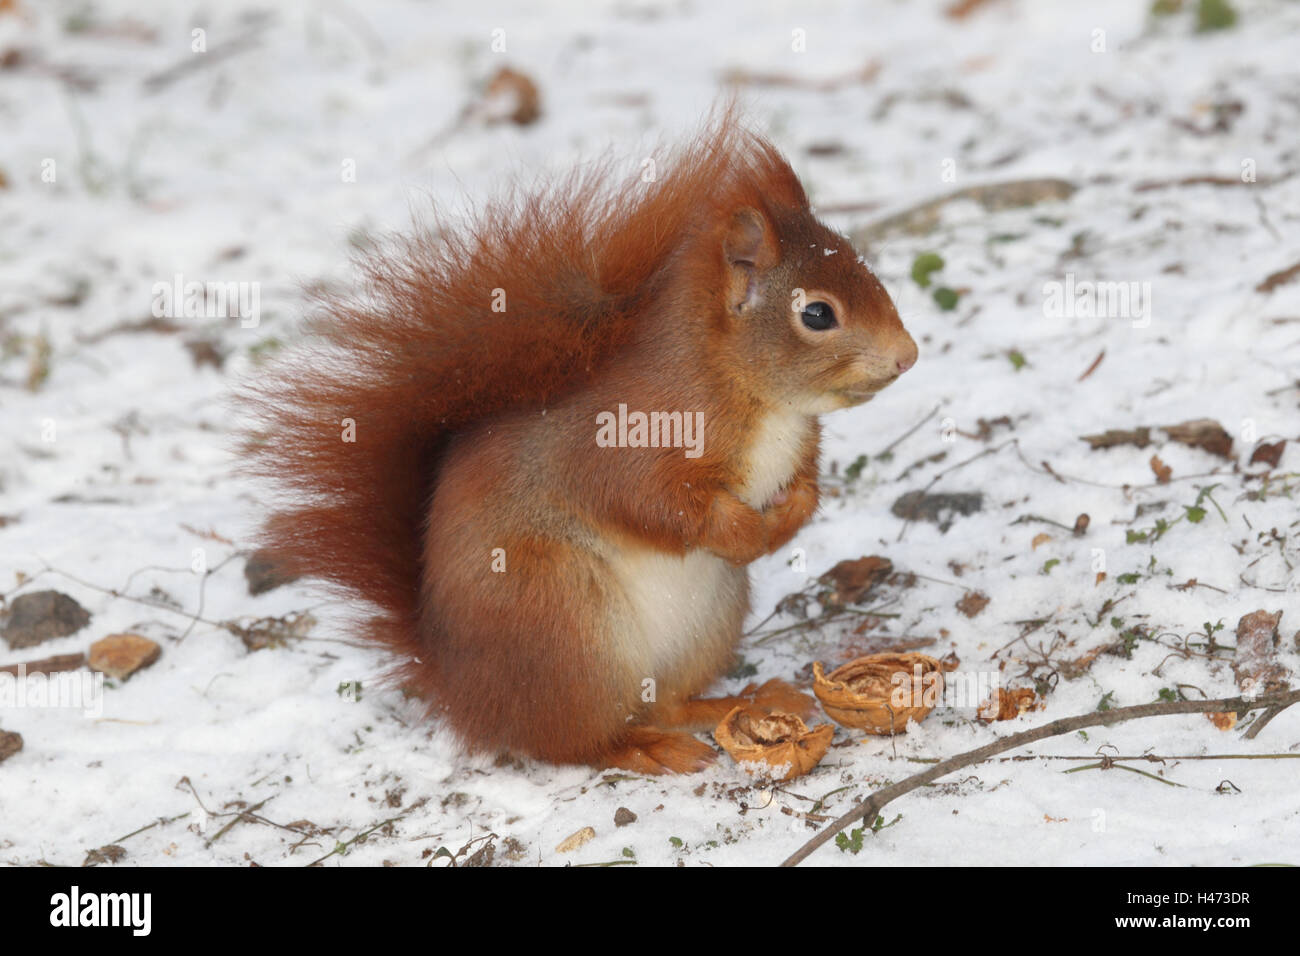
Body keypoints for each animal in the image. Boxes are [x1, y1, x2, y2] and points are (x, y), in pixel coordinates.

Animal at [241, 107, 917, 774]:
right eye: (818, 314)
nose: (908, 356)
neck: (763, 401)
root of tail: (461, 691)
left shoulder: (797, 449)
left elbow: (804, 488)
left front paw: (786, 520)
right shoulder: (625, 438)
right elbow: (646, 501)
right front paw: (744, 532)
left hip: (704, 621)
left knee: (664, 702)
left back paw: (743, 702)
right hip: (564, 624)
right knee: (575, 743)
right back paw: (646, 748)